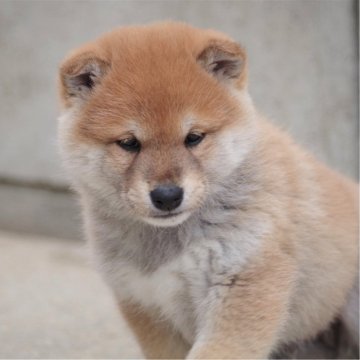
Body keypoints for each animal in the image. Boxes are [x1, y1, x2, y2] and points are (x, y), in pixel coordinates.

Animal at [57, 22, 358, 360]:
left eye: (194, 137)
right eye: (129, 143)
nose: (167, 196)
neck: (171, 244)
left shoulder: (244, 281)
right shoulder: (145, 303)